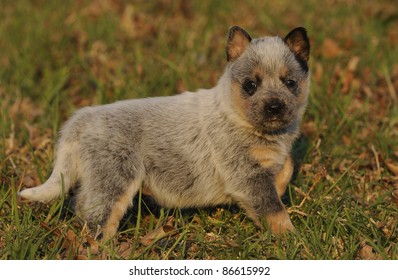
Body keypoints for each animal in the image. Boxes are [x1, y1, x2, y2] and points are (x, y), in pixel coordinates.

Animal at [18, 25, 310, 238]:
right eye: (251, 85)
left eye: (290, 83)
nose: (274, 107)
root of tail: (84, 118)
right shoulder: (246, 175)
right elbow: (273, 209)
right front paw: (291, 238)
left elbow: (286, 167)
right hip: (116, 178)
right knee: (99, 217)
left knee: (82, 203)